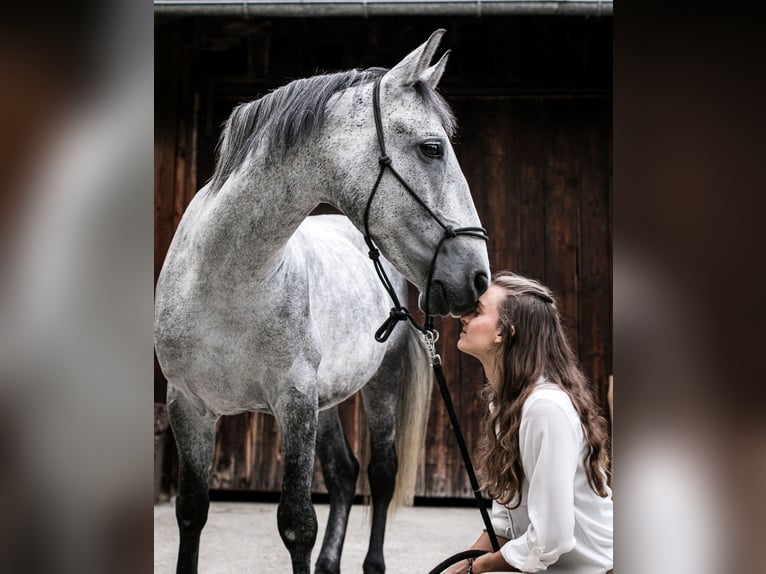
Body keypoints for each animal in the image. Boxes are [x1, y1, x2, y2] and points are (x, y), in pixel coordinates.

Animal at [154, 29, 490, 574]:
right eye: (432, 148)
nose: (478, 278)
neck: (226, 280)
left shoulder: (295, 401)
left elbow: (296, 523)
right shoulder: (189, 407)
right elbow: (190, 512)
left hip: (378, 383)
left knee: (380, 471)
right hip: (328, 397)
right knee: (343, 472)